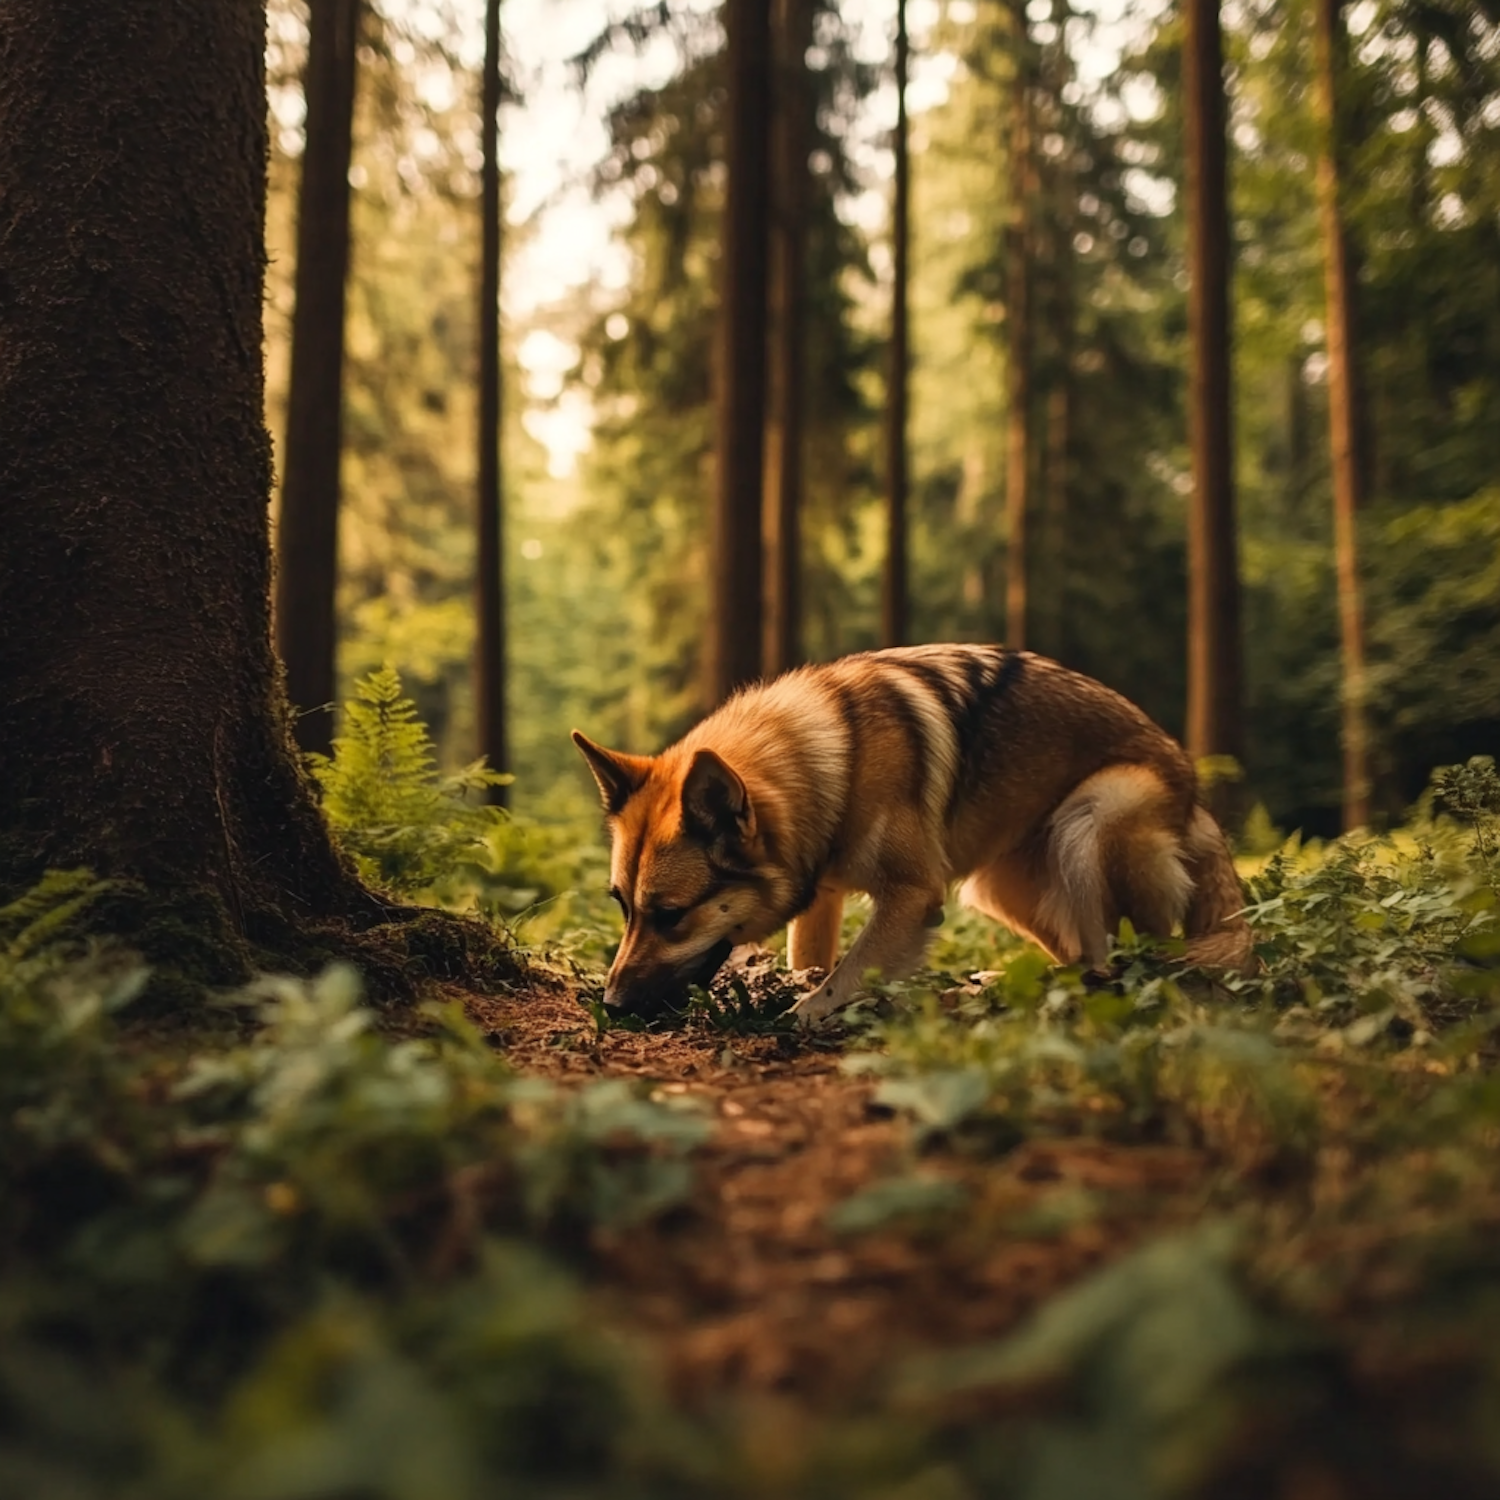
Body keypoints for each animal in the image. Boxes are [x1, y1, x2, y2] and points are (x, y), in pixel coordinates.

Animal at [573, 645, 1254, 1020]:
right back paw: (1001, 983)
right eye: (623, 907)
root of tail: (1197, 800)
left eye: (671, 915)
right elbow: (812, 961)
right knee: (1079, 954)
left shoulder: (913, 895)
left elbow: (842, 980)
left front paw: (796, 1016)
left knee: (1116, 962)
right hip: (1000, 886)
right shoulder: (822, 894)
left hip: (1088, 819)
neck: (837, 759)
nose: (612, 1006)